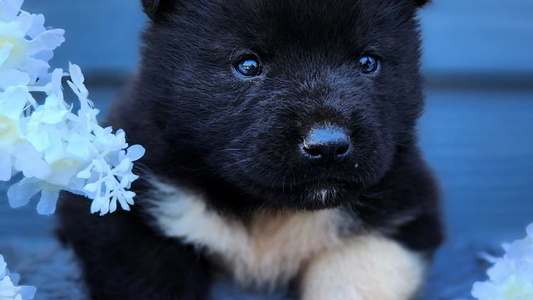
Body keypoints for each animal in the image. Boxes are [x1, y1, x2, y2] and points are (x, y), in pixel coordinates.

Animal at [58, 0, 442, 298]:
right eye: (248, 65)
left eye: (367, 62)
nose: (328, 146)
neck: (267, 211)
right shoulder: (122, 216)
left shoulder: (400, 213)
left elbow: (351, 279)